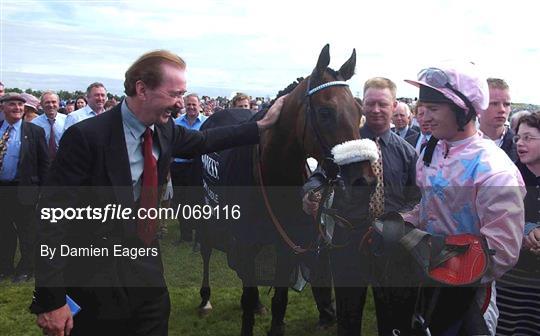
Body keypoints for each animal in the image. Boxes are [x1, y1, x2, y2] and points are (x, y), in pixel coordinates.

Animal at [196, 44, 378, 336]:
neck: (273, 177)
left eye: (359, 110)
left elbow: (279, 300)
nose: (364, 179)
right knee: (206, 247)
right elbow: (247, 295)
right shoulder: (245, 241)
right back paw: (205, 300)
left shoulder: (286, 245)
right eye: (325, 112)